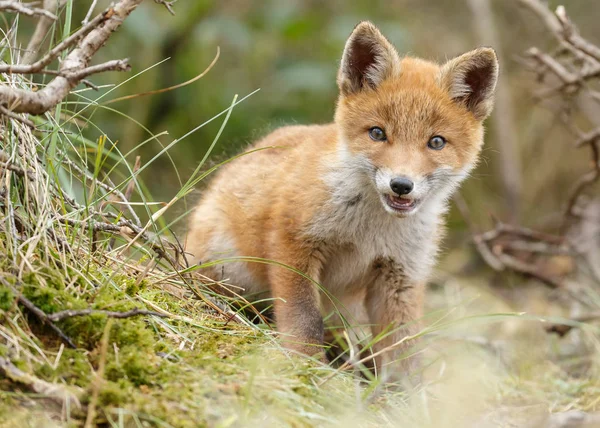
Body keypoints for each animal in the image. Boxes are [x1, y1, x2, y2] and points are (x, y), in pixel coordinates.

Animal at [188, 21, 496, 380]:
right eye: (377, 133)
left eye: (436, 142)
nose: (401, 185)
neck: (370, 231)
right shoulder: (293, 242)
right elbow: (304, 318)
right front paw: (306, 367)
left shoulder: (401, 274)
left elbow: (403, 347)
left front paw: (402, 393)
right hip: (225, 266)